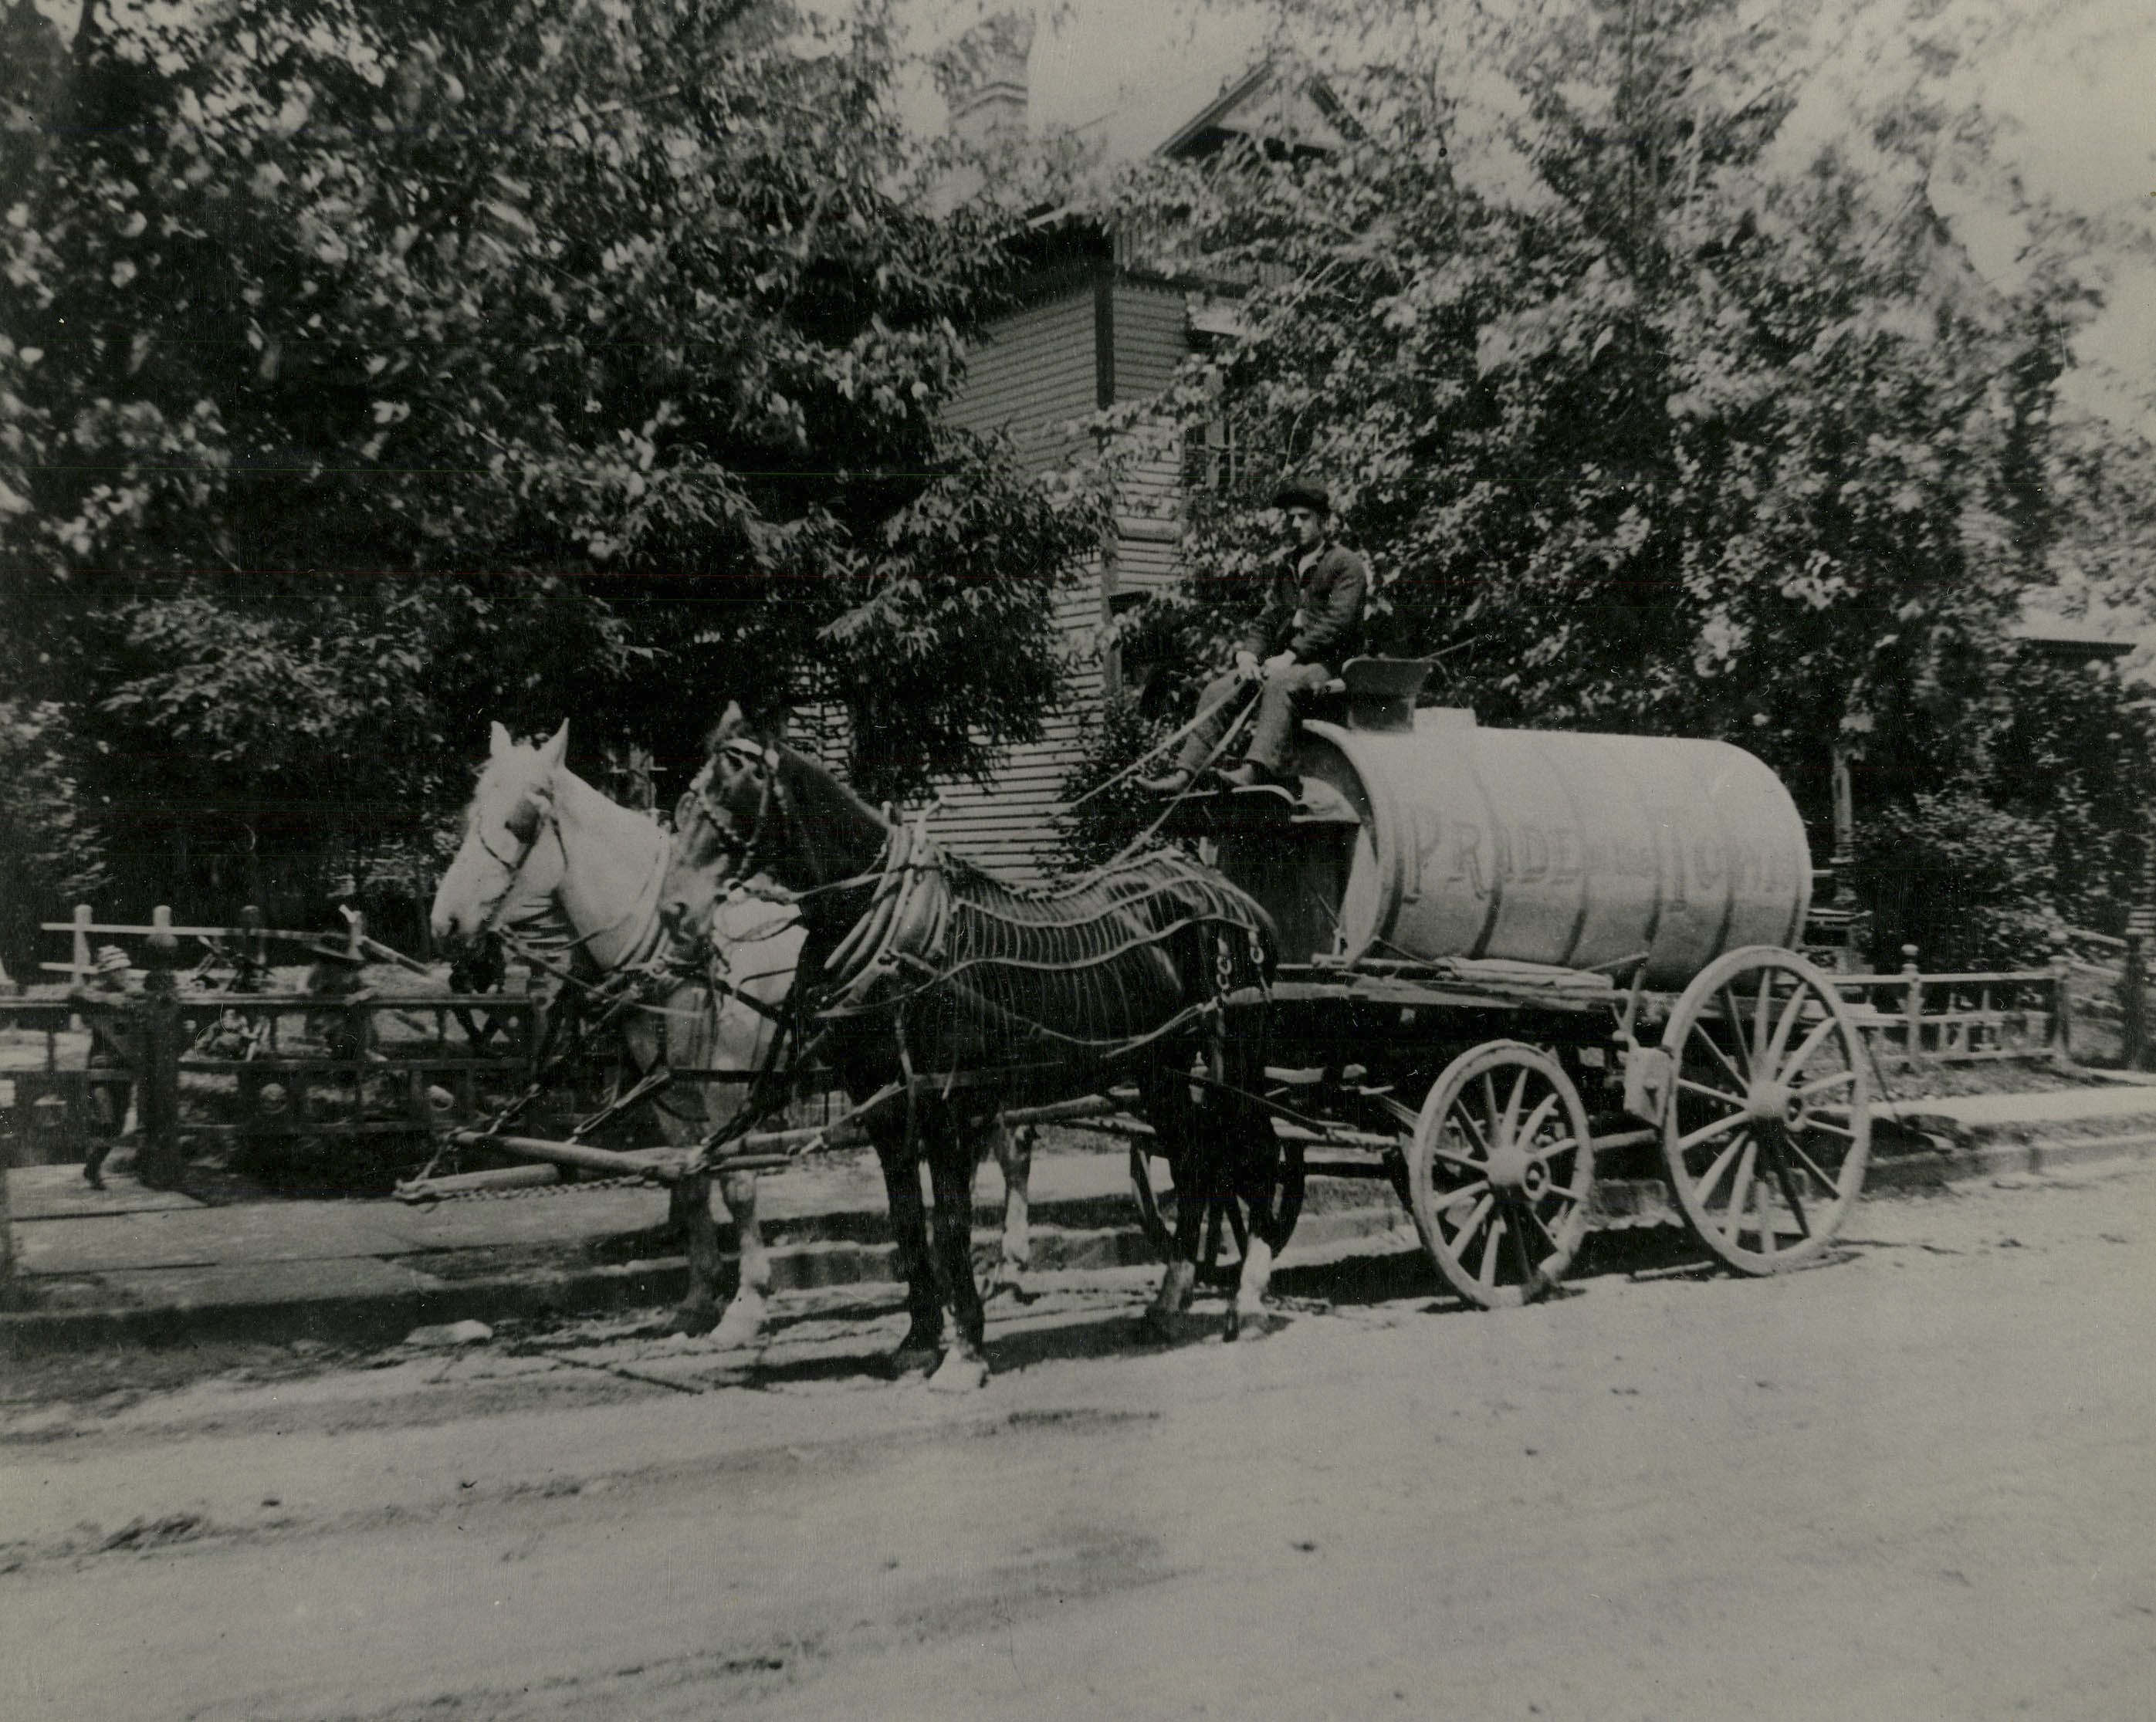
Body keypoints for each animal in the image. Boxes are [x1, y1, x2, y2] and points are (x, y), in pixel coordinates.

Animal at [429, 722, 1043, 1345]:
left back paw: (1011, 1266)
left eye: (519, 823)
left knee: (1013, 1147)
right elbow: (692, 1187)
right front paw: (698, 1298)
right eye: (470, 812)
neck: (681, 952)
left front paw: (747, 1303)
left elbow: (737, 1187)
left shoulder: (730, 1086)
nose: (444, 922)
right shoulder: (674, 1097)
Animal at [657, 705, 1286, 1392]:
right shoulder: (884, 1107)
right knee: (1196, 1157)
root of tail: (1230, 893)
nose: (674, 911)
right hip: (1162, 1067)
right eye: (686, 796)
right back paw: (1171, 1297)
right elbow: (907, 1219)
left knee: (1255, 1154)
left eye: (735, 789)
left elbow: (952, 1222)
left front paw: (962, 1353)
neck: (901, 935)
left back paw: (1248, 1298)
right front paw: (916, 1340)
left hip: (1234, 1056)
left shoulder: (950, 1105)